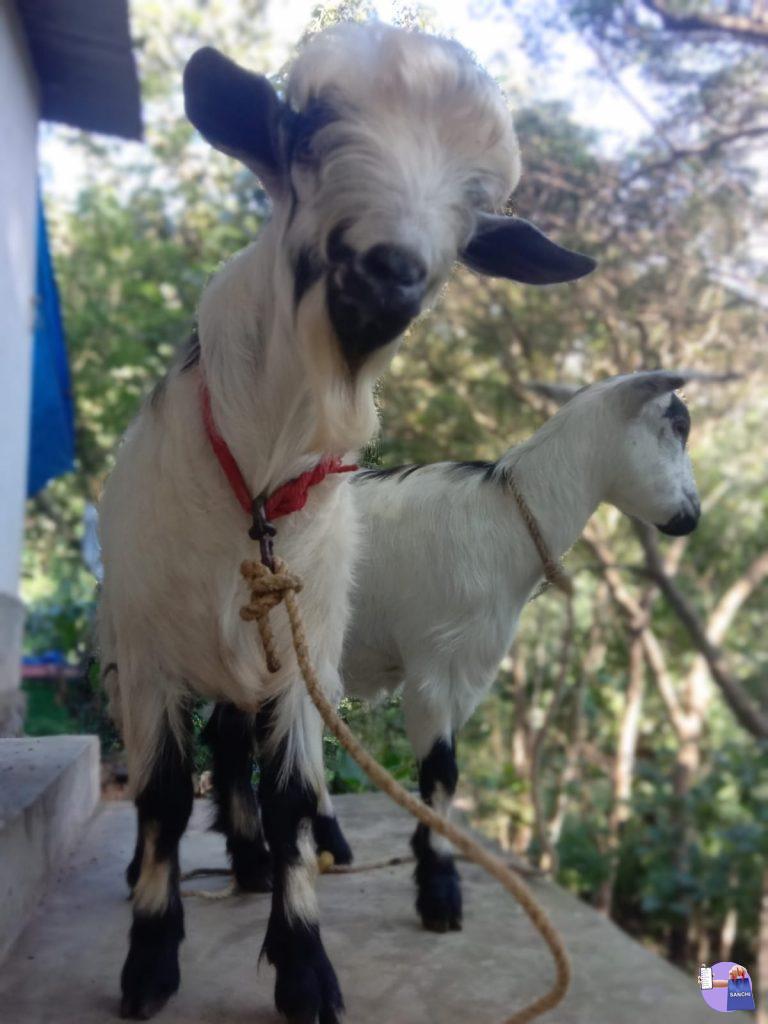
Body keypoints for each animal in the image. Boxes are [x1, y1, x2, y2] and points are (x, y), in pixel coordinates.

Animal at [99, 23, 595, 1023]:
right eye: (307, 129)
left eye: (479, 208)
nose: (391, 271)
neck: (256, 485)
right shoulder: (153, 652)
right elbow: (161, 797)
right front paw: (150, 961)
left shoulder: (303, 647)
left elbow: (292, 794)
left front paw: (304, 965)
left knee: (238, 754)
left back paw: (255, 861)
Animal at [341, 370, 701, 933]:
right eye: (679, 425)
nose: (692, 515)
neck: (503, 523)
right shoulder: (434, 662)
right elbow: (442, 772)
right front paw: (440, 894)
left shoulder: (469, 669)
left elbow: (442, 776)